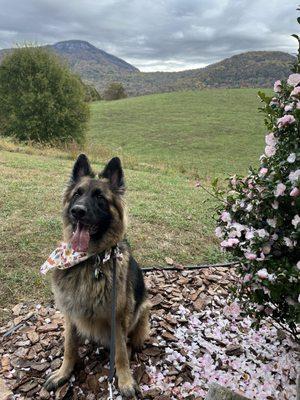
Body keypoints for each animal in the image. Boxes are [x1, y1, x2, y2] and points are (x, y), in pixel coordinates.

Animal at [44, 155, 150, 398]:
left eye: (100, 198)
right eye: (77, 194)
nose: (77, 211)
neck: (89, 260)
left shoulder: (117, 317)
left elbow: (120, 353)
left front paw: (125, 381)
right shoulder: (70, 313)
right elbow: (69, 346)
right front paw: (64, 372)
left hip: (143, 310)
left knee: (129, 343)